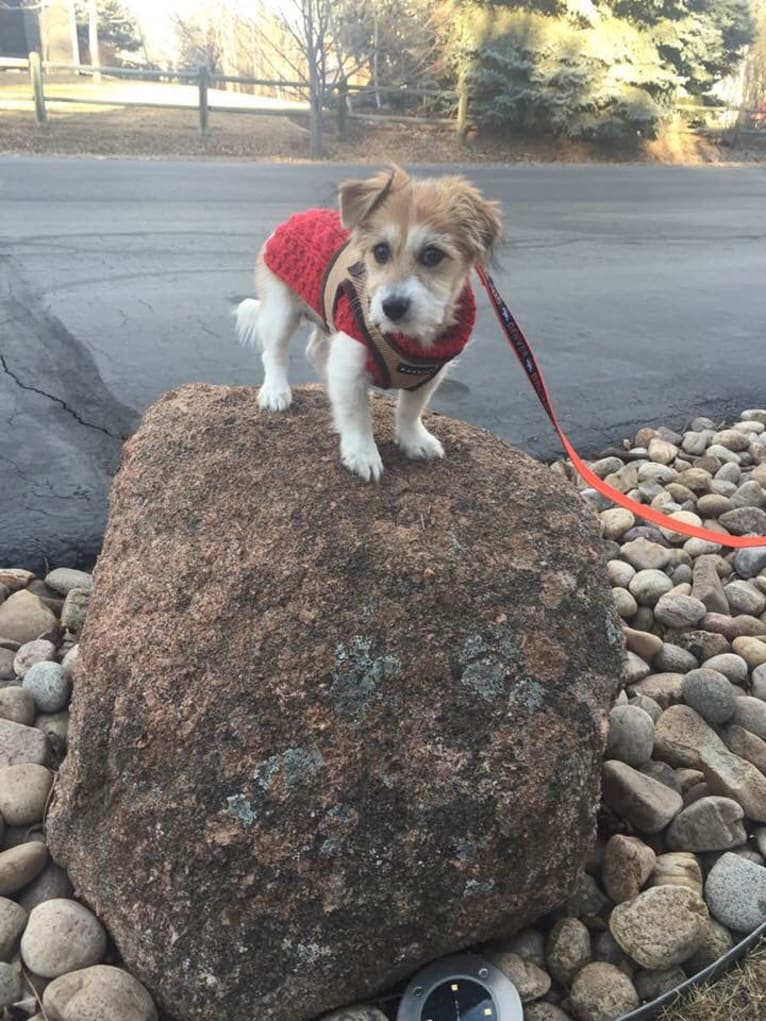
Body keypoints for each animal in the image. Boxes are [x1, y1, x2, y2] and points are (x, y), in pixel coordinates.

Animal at [235, 164, 504, 481]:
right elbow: (356, 415)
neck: (405, 338)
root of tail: (295, 219)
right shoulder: (350, 359)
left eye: (432, 255)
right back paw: (276, 391)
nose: (392, 307)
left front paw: (414, 439)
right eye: (381, 251)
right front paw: (362, 453)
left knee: (316, 352)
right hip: (281, 311)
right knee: (275, 353)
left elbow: (410, 410)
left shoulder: (428, 374)